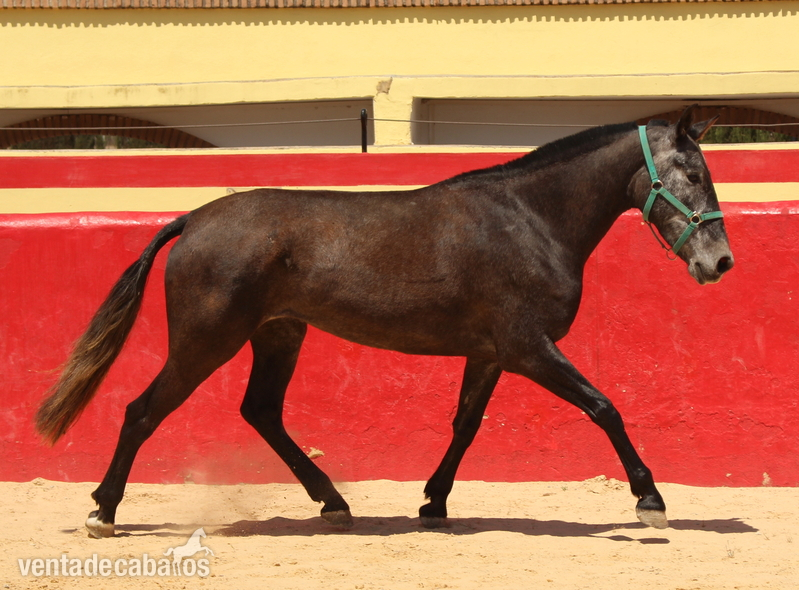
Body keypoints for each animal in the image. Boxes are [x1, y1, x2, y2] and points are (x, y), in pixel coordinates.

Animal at [36, 106, 734, 538]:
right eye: (694, 173)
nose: (720, 261)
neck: (529, 219)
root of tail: (192, 220)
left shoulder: (490, 353)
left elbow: (465, 427)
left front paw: (433, 502)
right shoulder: (528, 347)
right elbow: (604, 407)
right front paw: (650, 500)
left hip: (278, 334)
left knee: (261, 411)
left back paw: (334, 503)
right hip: (205, 341)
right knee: (142, 411)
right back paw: (103, 511)